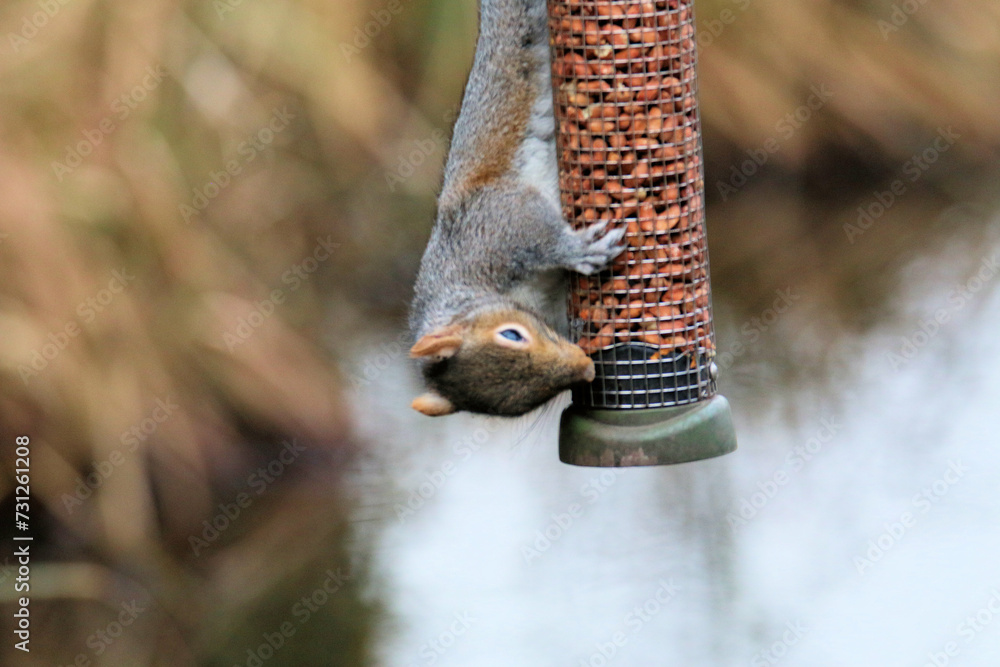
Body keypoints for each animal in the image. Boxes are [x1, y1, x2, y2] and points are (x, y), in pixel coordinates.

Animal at [408, 0, 624, 418]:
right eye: (521, 406)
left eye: (511, 334)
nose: (587, 368)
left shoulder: (491, 224)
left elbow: (533, 226)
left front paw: (578, 250)